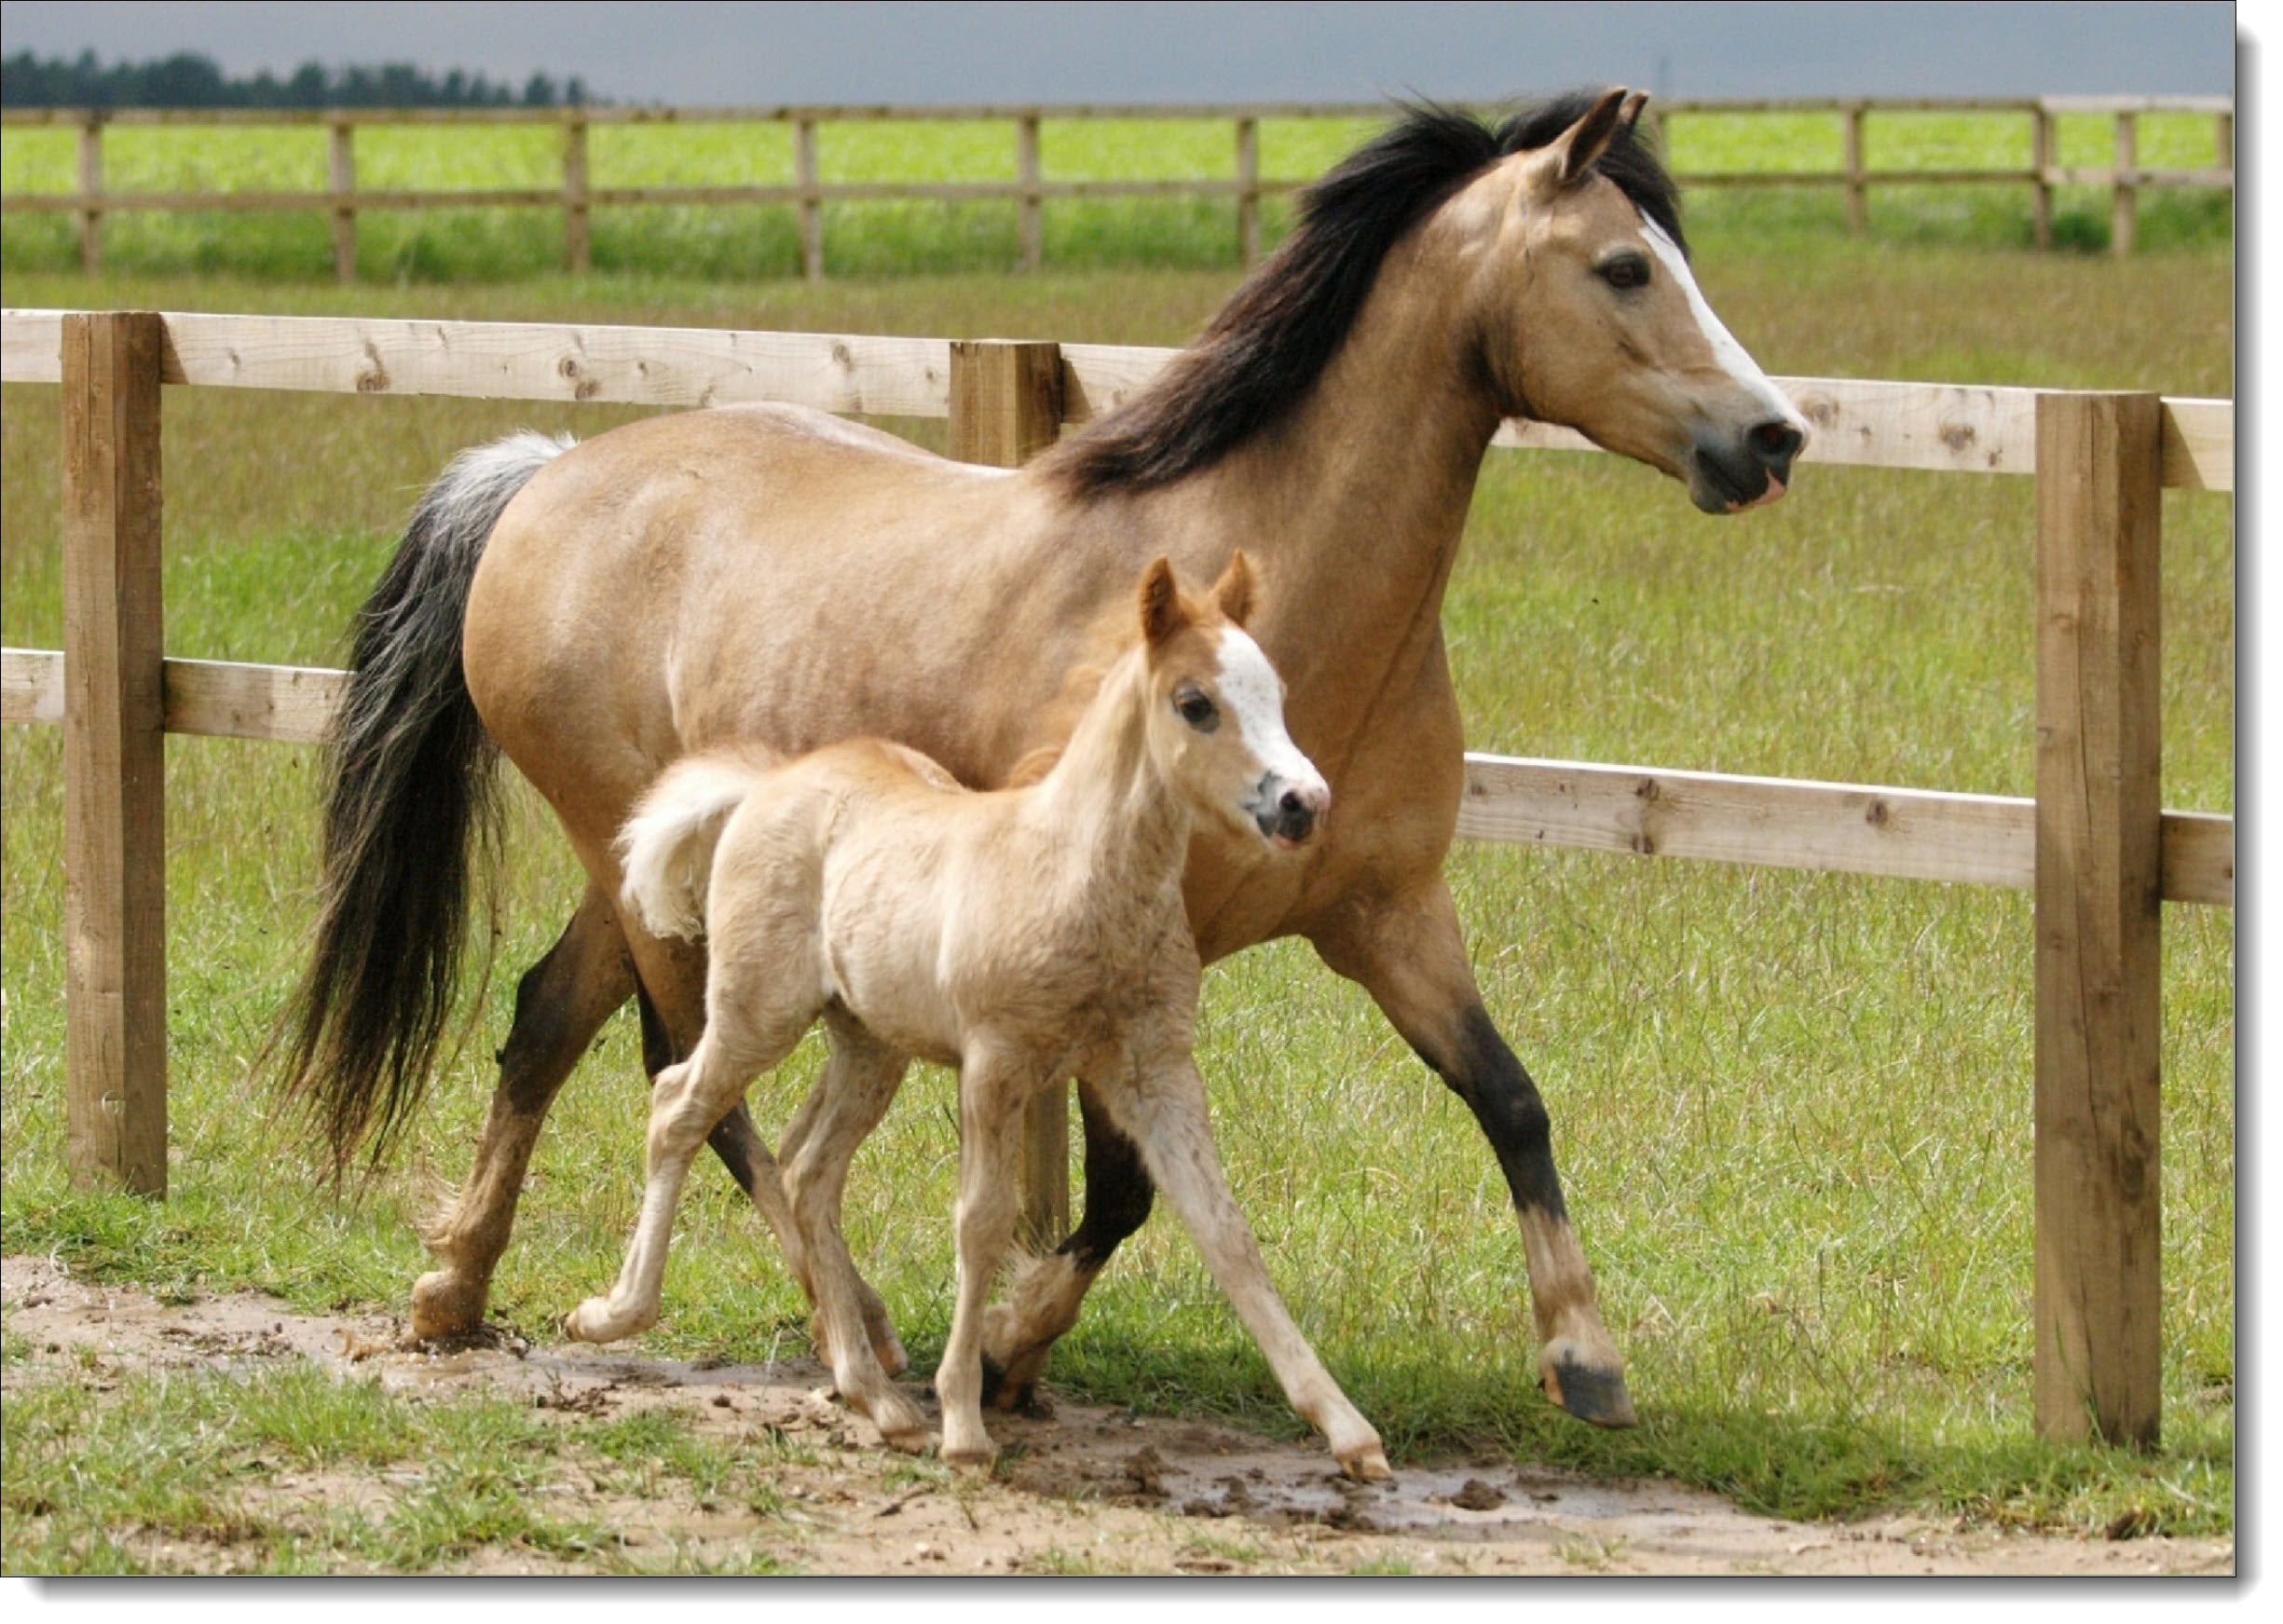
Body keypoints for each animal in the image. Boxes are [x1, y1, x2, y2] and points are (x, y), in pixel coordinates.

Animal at [563, 555, 1388, 1477]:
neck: (1078, 877)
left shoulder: (1155, 1069)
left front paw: (1349, 1429)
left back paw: (877, 1397)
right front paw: (964, 1420)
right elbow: (982, 1220)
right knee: (680, 1104)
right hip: (757, 1009)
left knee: (809, 1170)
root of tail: (765, 783)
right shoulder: (998, 1062)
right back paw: (615, 1313)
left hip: (869, 1045)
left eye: (1275, 692)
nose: (1304, 803)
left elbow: (1226, 1231)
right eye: (1195, 702)